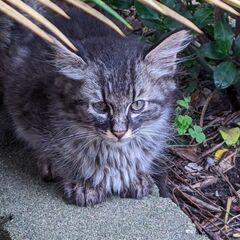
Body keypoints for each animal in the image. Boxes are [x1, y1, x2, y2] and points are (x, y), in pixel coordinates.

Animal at [0, 5, 191, 206]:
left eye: (137, 105)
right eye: (101, 106)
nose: (119, 132)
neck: (115, 153)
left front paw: (135, 176)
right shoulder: (33, 108)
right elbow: (55, 151)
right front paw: (83, 182)